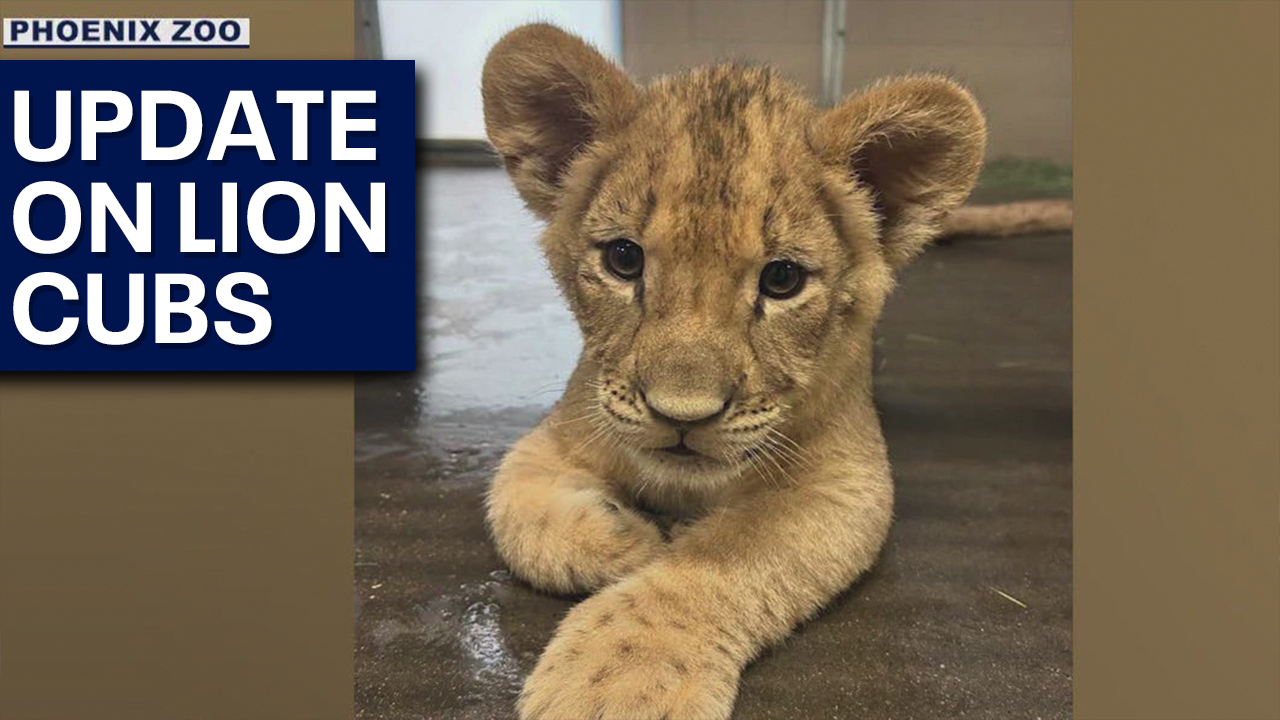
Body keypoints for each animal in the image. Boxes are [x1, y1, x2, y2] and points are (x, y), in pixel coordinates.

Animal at [480, 23, 986, 720]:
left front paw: (618, 682)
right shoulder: (559, 433)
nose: (680, 416)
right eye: (623, 259)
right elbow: (514, 514)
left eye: (783, 279)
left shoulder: (845, 484)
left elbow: (724, 559)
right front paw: (627, 539)